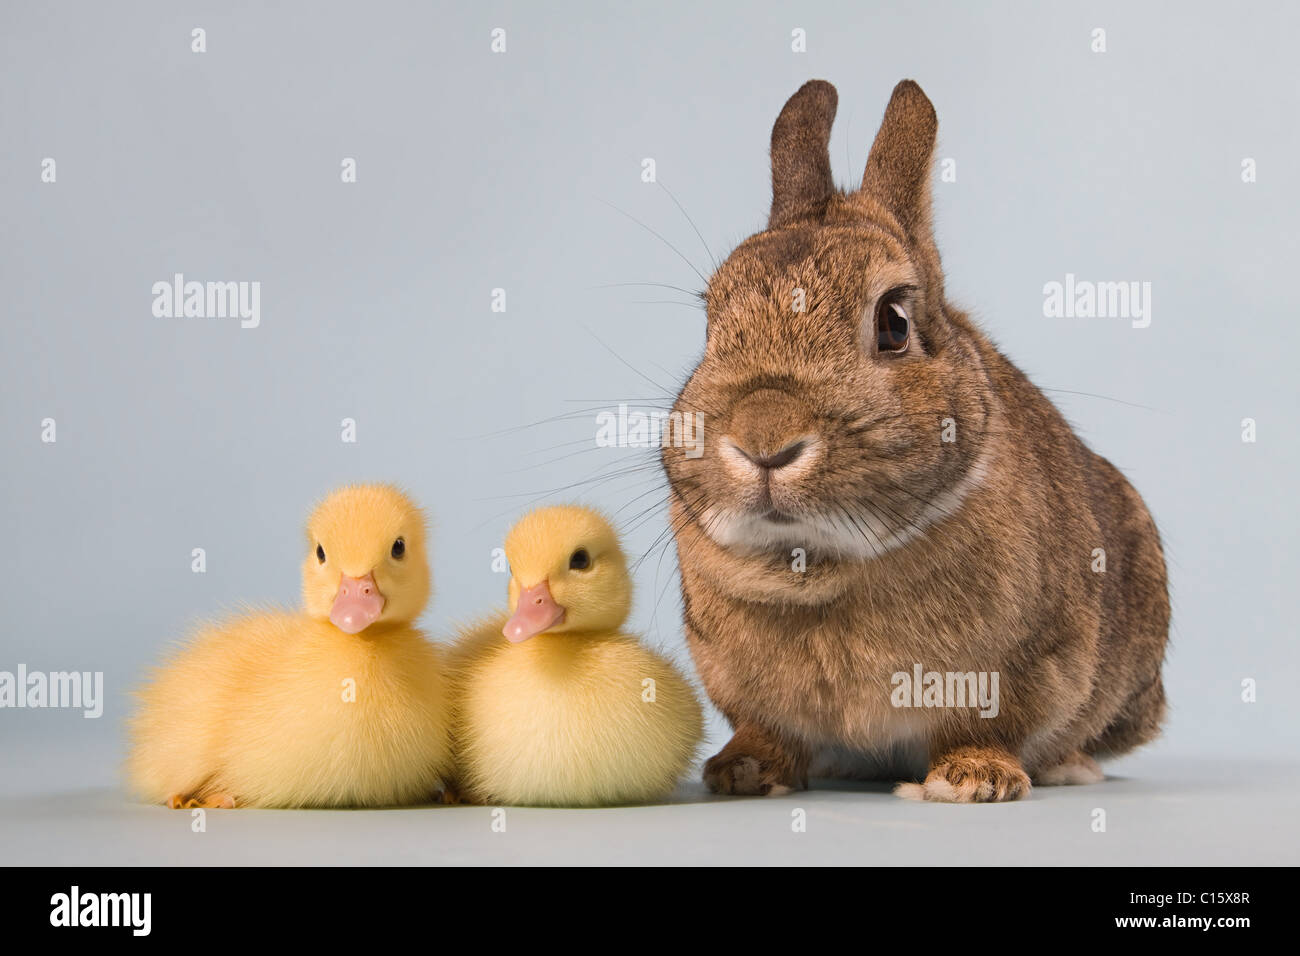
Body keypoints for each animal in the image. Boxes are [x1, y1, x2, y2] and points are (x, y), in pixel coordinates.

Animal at [660, 78, 1170, 806]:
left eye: (894, 322)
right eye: (712, 320)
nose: (764, 439)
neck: (818, 562)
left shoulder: (1023, 667)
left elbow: (989, 725)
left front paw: (972, 781)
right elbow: (768, 730)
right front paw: (743, 773)